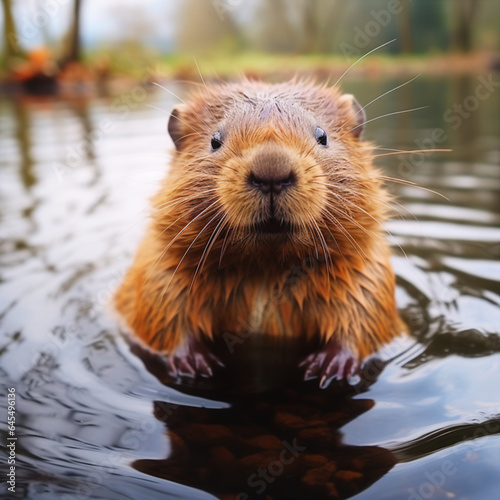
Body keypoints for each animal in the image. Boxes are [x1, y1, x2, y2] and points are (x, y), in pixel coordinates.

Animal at [114, 79, 406, 386]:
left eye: (322, 135)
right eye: (214, 140)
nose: (271, 171)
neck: (265, 271)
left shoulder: (366, 270)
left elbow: (366, 315)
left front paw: (328, 366)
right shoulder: (160, 265)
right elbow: (160, 311)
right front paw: (194, 363)